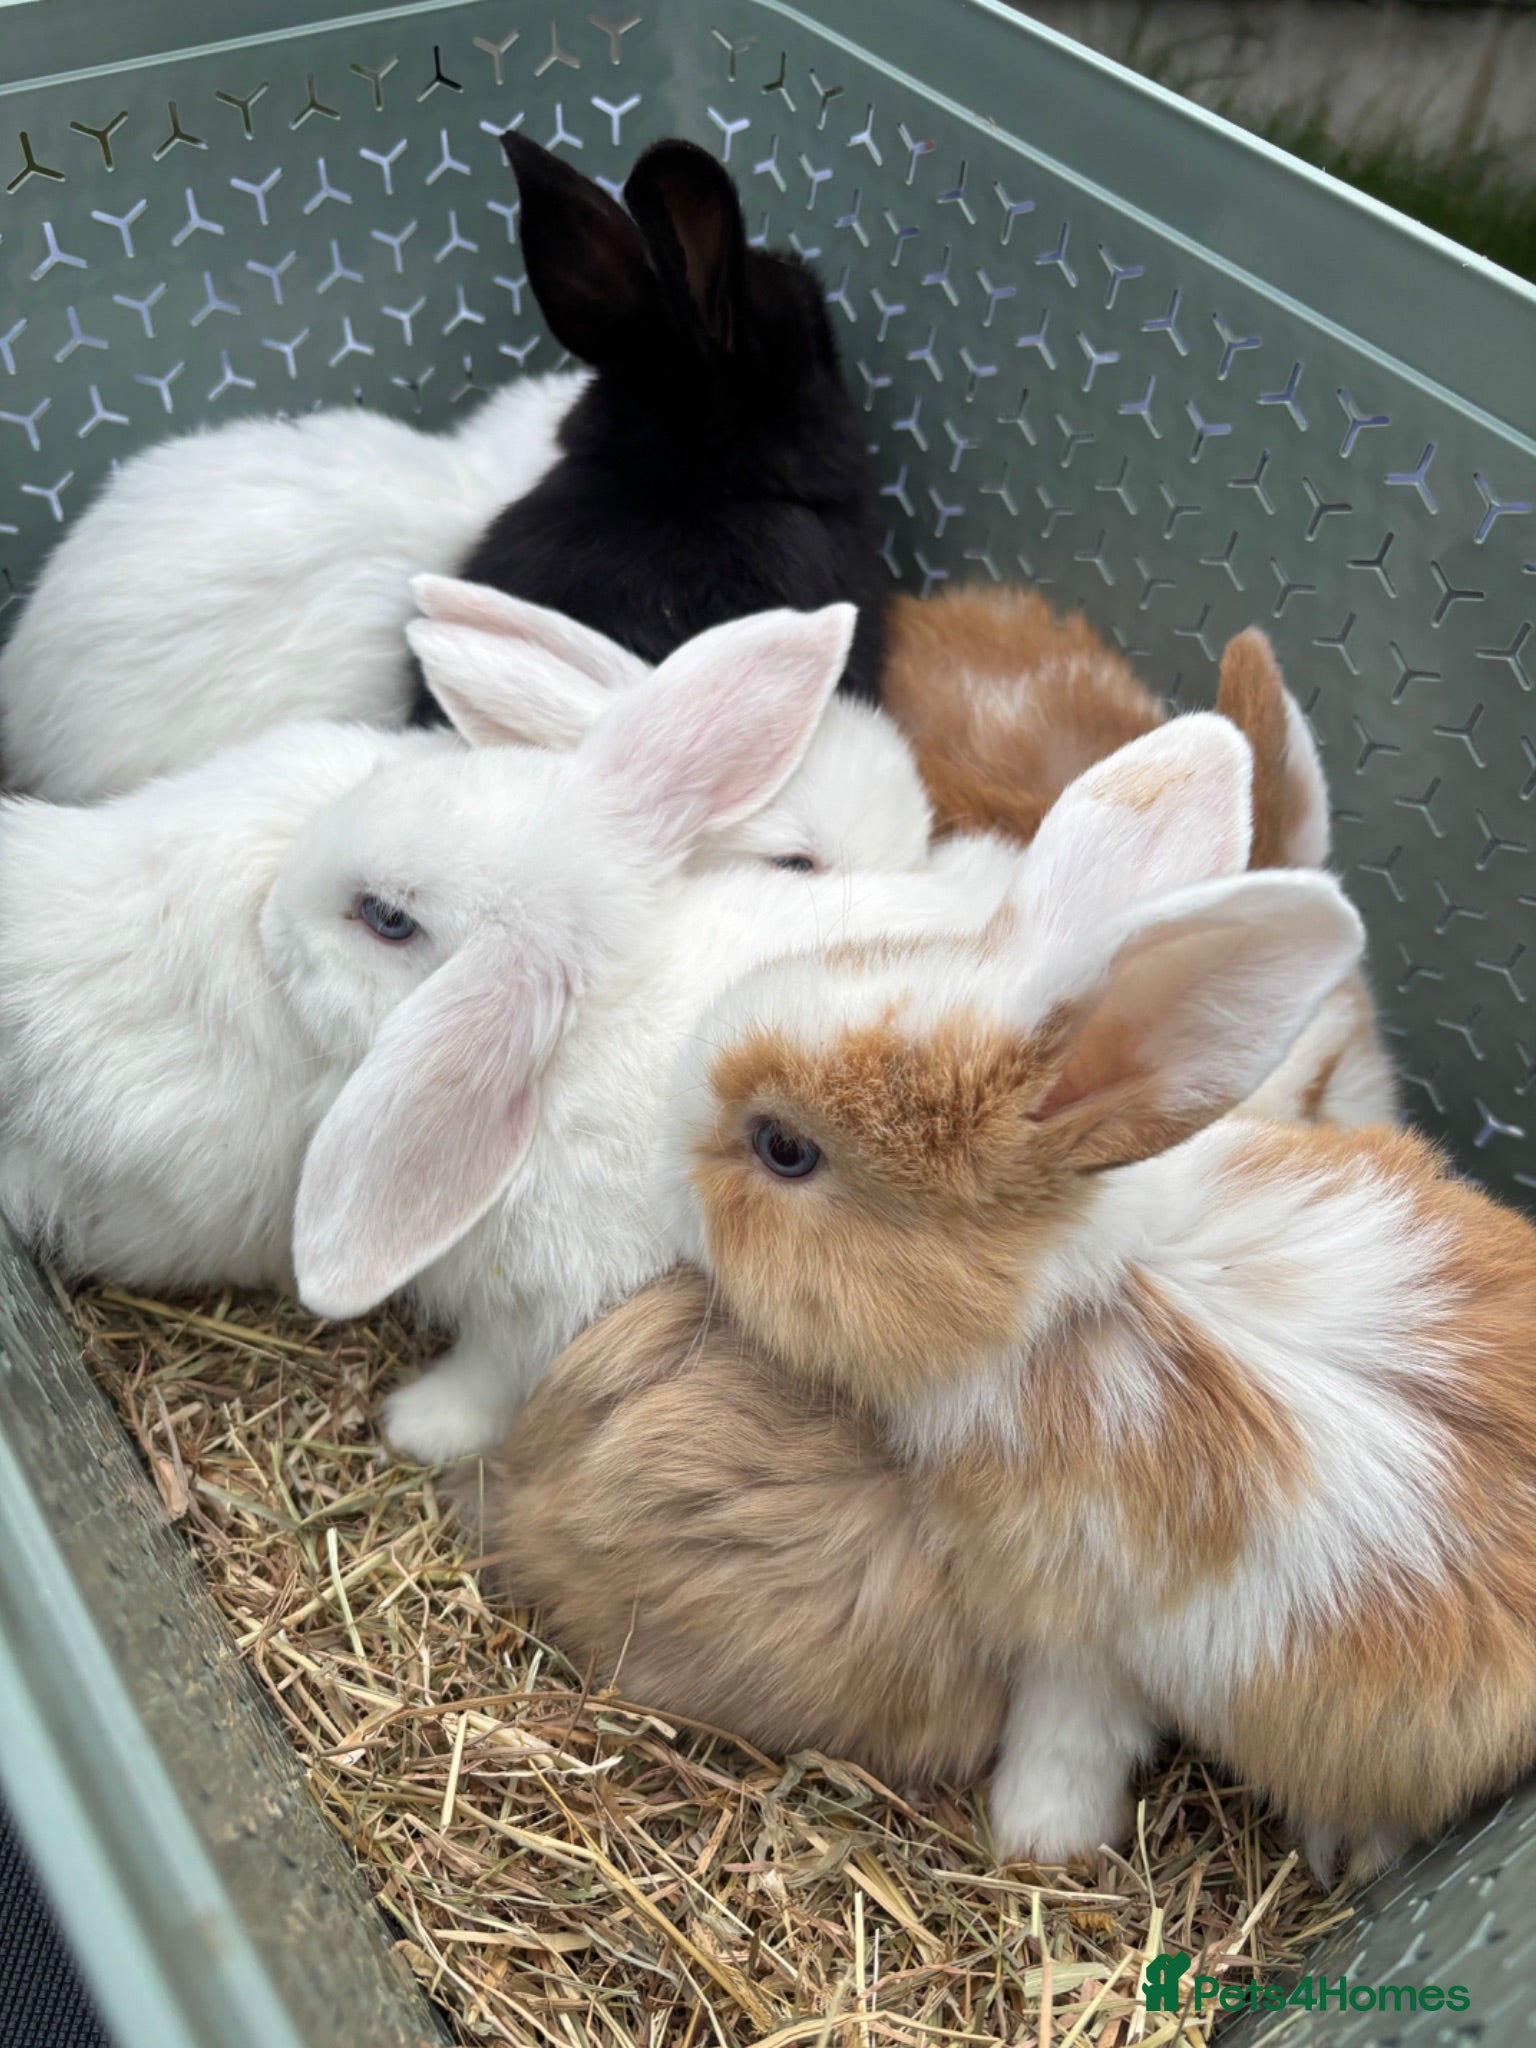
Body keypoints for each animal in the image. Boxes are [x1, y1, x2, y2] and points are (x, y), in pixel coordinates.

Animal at [661, 712, 1536, 1885]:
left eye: (785, 1150)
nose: (666, 1138)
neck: (1078, 1297)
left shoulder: (1082, 1636)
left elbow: (1071, 1740)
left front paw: (1038, 1840)